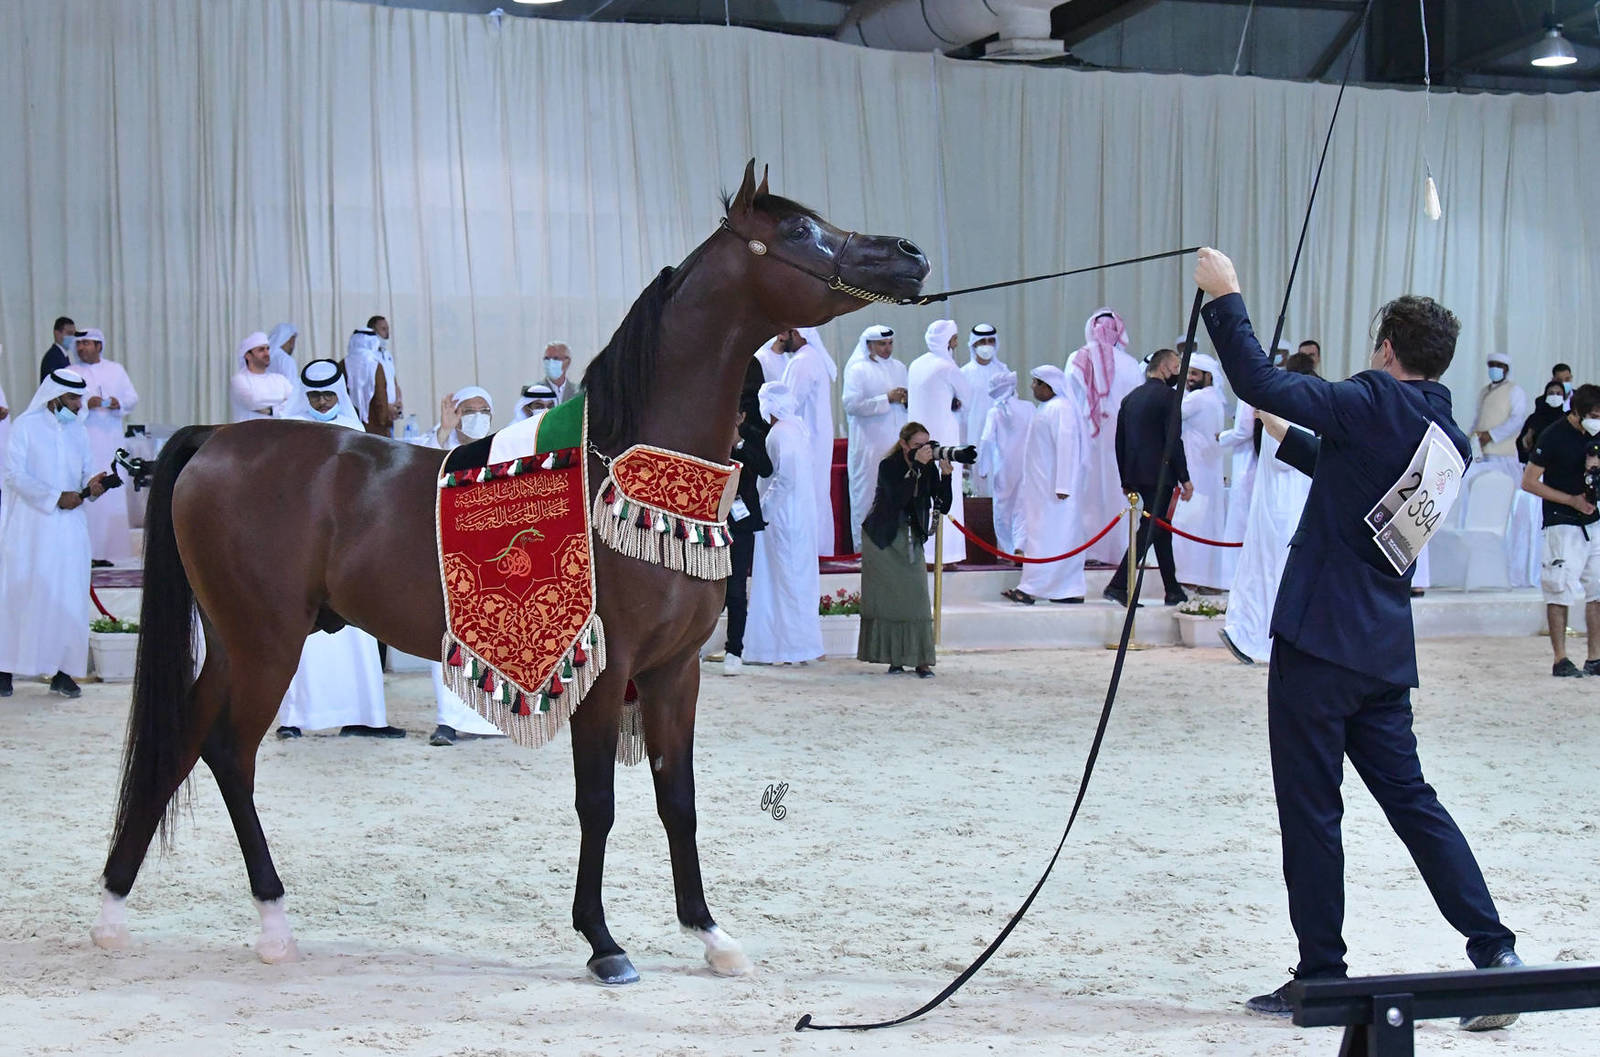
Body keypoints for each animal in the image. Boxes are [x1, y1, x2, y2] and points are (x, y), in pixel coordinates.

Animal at [92, 160, 929, 985]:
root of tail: (214, 440)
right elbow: (599, 802)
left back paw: (115, 909)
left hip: (231, 643)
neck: (624, 476)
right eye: (799, 230)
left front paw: (710, 932)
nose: (909, 253)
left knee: (179, 745)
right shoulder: (604, 667)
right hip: (267, 643)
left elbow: (678, 800)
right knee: (231, 754)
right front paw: (603, 940)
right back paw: (272, 922)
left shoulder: (674, 671)